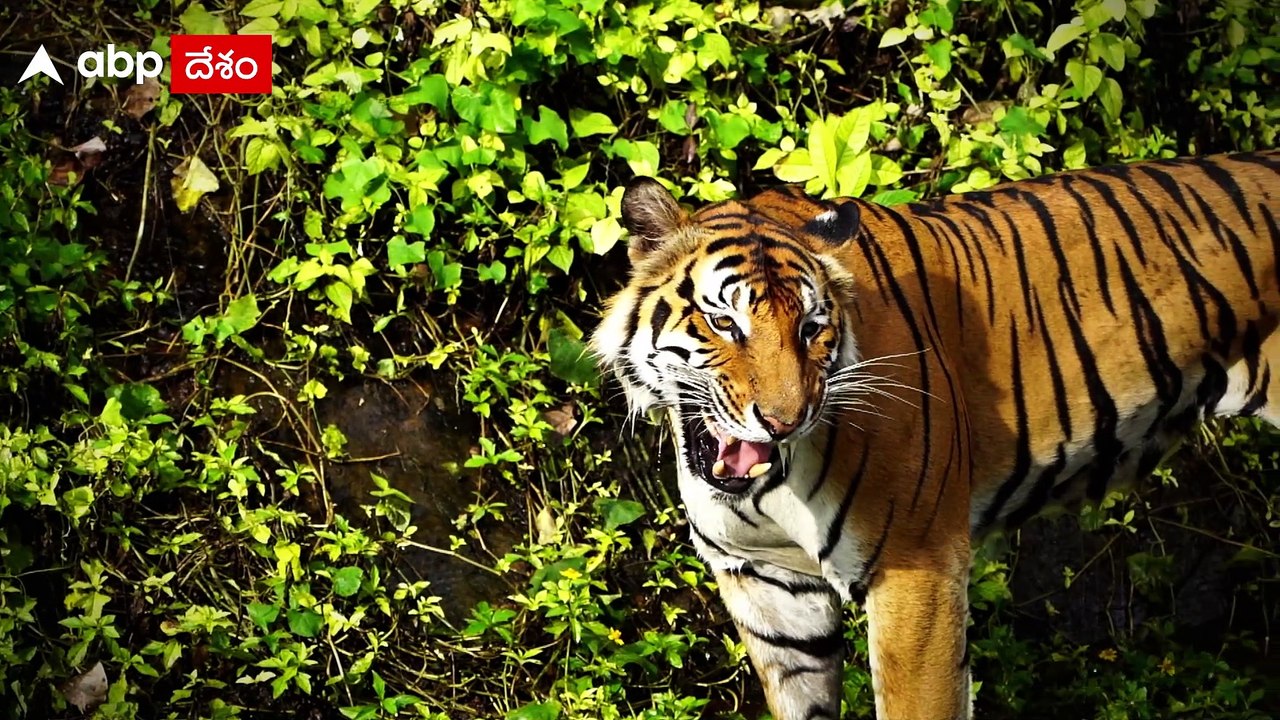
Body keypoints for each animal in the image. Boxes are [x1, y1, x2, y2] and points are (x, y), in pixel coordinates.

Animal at [589, 150, 1280, 720]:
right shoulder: (769, 590)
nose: (786, 419)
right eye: (724, 322)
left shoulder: (916, 571)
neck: (764, 492)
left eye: (812, 328)